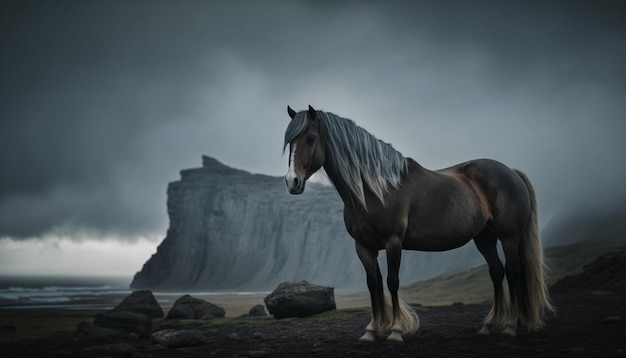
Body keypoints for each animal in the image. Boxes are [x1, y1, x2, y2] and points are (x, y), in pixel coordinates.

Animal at [282, 105, 552, 342]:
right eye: (290, 142)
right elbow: (373, 284)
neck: (374, 190)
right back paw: (488, 326)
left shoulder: (393, 243)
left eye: (311, 139)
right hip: (484, 238)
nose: (292, 182)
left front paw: (395, 331)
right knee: (497, 272)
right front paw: (372, 331)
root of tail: (512, 172)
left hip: (509, 237)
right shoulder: (363, 247)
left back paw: (510, 327)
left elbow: (391, 282)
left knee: (514, 272)